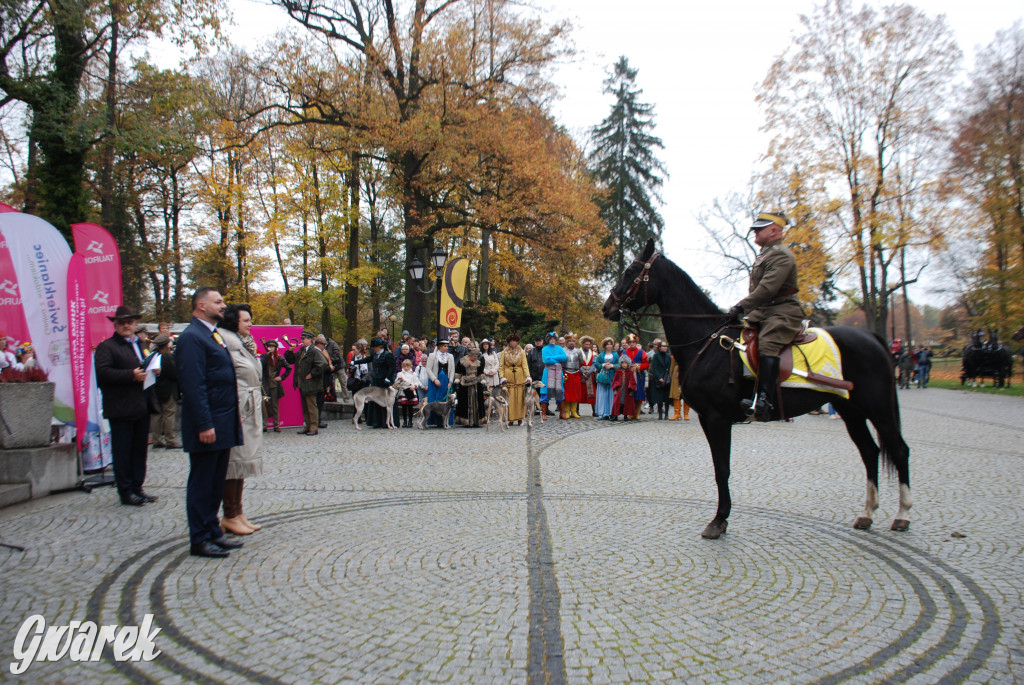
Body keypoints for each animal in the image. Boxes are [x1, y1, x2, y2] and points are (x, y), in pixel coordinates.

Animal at [598, 240, 913, 540]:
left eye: (631, 271)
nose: (607, 307)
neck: (706, 343)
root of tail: (873, 337)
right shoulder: (707, 419)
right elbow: (718, 467)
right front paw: (721, 518)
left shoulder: (717, 418)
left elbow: (722, 469)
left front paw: (719, 520)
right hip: (851, 411)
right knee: (870, 452)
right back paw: (867, 514)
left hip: (879, 408)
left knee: (898, 450)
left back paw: (902, 515)